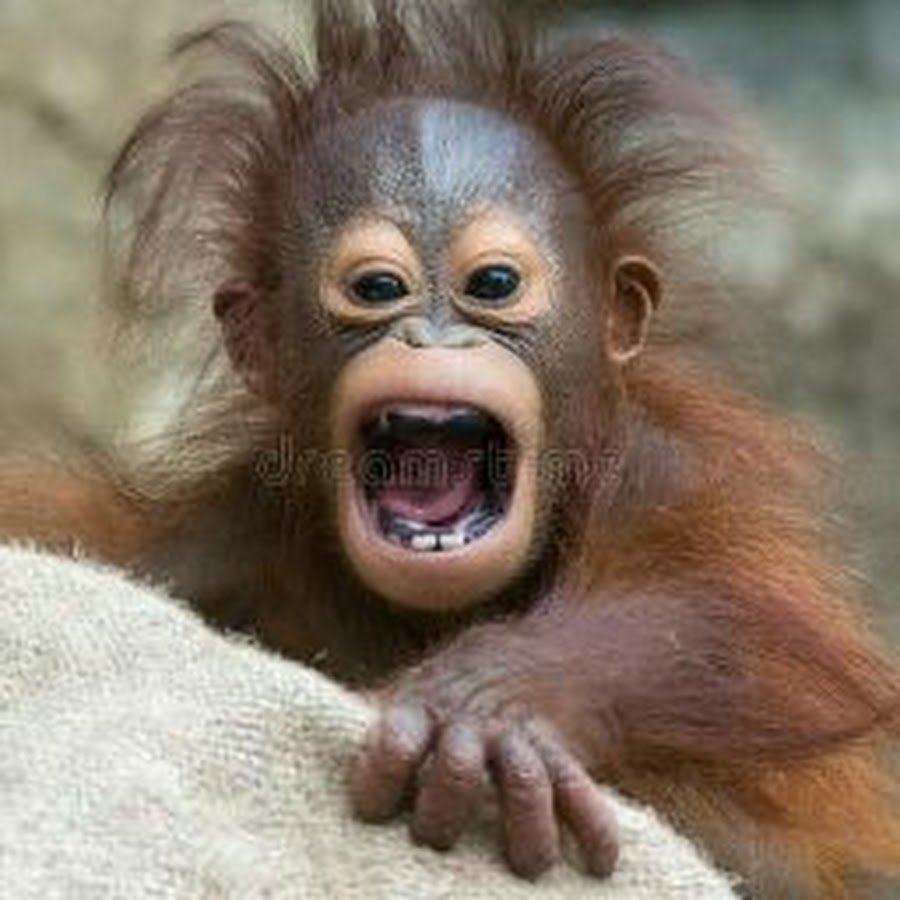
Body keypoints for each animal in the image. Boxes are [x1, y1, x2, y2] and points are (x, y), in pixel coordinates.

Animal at [2, 2, 898, 897]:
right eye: (376, 287)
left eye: (494, 284)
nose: (432, 335)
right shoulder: (217, 539)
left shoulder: (664, 470)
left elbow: (728, 622)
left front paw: (493, 702)